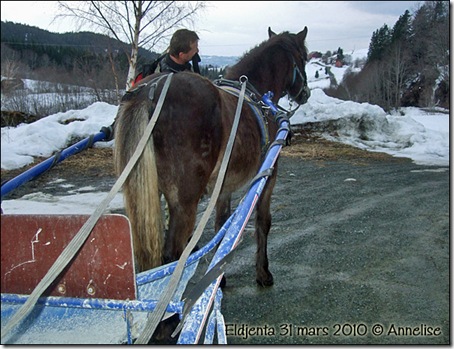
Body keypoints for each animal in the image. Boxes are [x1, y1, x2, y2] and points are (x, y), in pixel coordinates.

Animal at [115, 26, 310, 286]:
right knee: (172, 254)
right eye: (304, 58)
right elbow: (263, 221)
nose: (306, 93)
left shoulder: (223, 185)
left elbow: (221, 226)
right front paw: (263, 272)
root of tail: (150, 92)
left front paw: (220, 278)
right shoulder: (269, 174)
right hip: (185, 199)